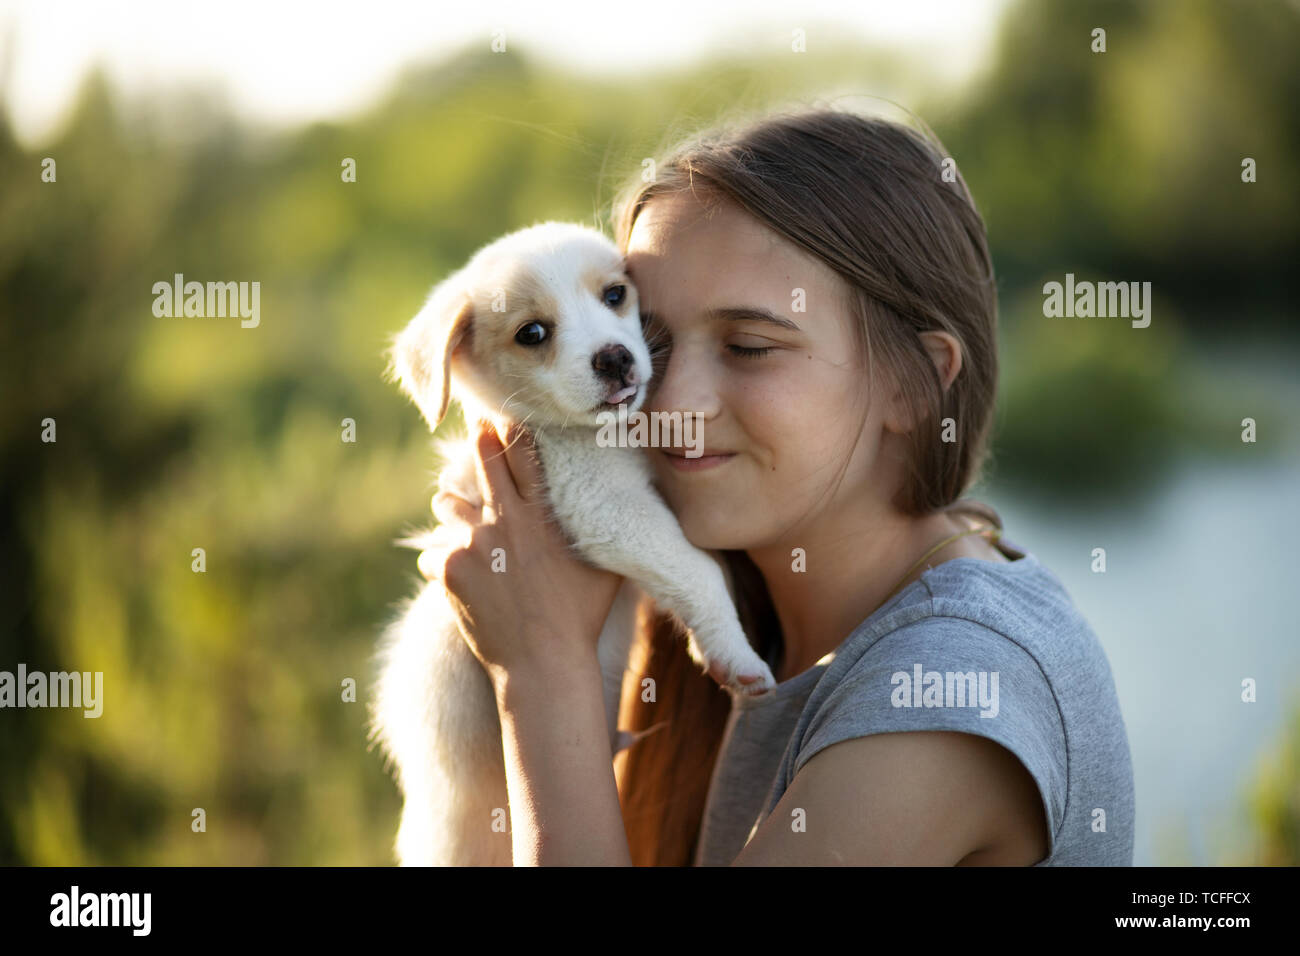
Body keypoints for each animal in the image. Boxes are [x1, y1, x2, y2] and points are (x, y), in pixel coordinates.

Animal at [369, 218, 769, 868]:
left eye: (615, 294)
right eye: (532, 333)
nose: (616, 359)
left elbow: (700, 563)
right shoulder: (602, 504)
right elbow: (699, 569)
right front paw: (736, 657)